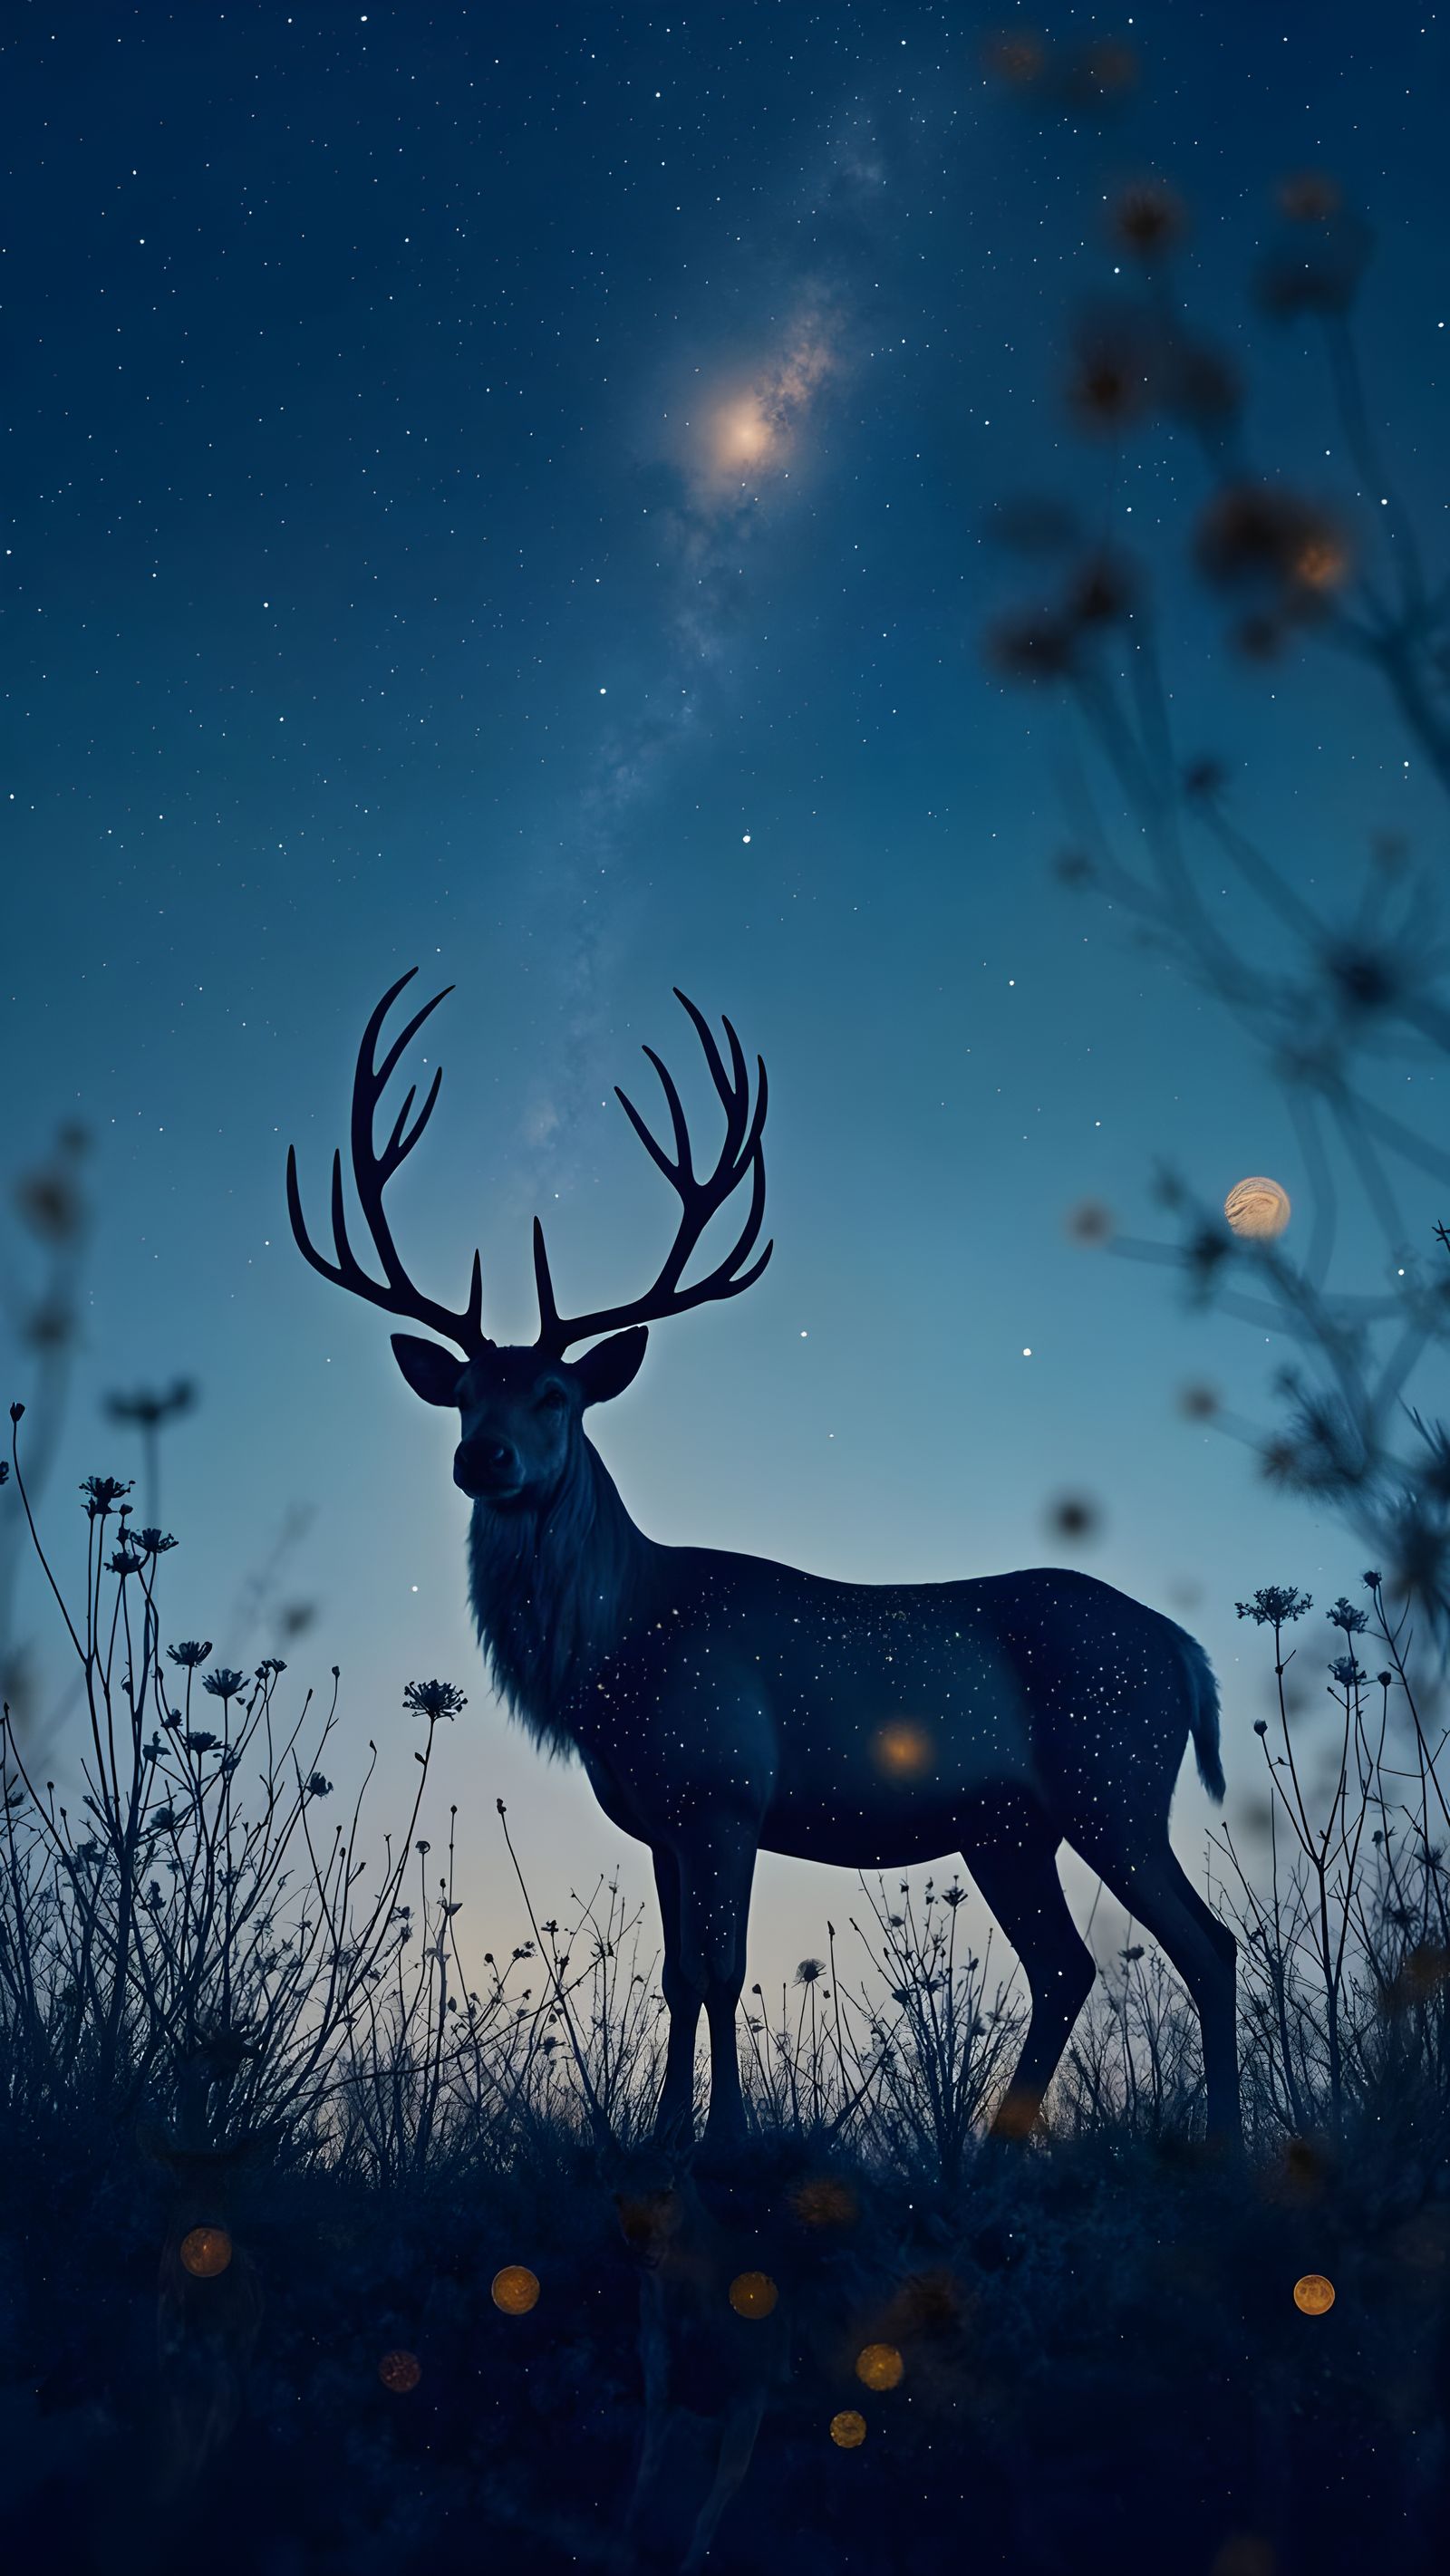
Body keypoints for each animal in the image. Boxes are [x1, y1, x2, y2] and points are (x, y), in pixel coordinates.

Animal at [287, 969, 1240, 2158]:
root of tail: (1185, 1649)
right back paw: (995, 2151)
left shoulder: (725, 1784)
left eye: (555, 1392)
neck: (613, 1654)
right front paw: (662, 2136)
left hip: (1112, 1773)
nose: (482, 1457)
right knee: (1066, 1964)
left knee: (1205, 1943)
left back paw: (1223, 2145)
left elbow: (725, 1969)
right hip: (1007, 1823)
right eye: (463, 1393)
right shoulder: (656, 1814)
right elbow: (674, 1976)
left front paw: (728, 2137)